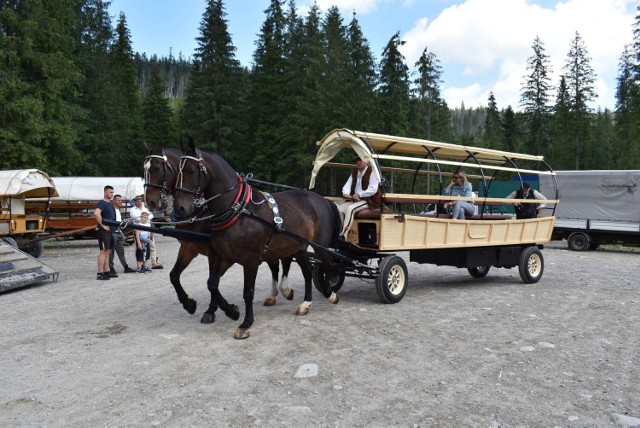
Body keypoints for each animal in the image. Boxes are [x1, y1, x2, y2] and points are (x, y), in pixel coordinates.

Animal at [142, 144, 296, 324]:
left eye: (157, 168)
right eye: (144, 169)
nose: (150, 202)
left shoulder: (214, 252)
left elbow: (212, 281)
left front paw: (214, 309)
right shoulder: (189, 248)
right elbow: (174, 276)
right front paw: (189, 304)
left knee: (285, 261)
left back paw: (285, 290)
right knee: (275, 264)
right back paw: (274, 295)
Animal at [170, 139, 340, 340]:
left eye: (190, 170)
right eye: (177, 171)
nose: (180, 208)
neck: (240, 211)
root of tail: (322, 198)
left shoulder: (250, 260)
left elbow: (248, 292)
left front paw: (245, 323)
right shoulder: (224, 256)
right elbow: (212, 283)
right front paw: (231, 311)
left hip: (319, 246)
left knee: (329, 264)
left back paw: (330, 293)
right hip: (299, 247)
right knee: (307, 272)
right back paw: (306, 304)